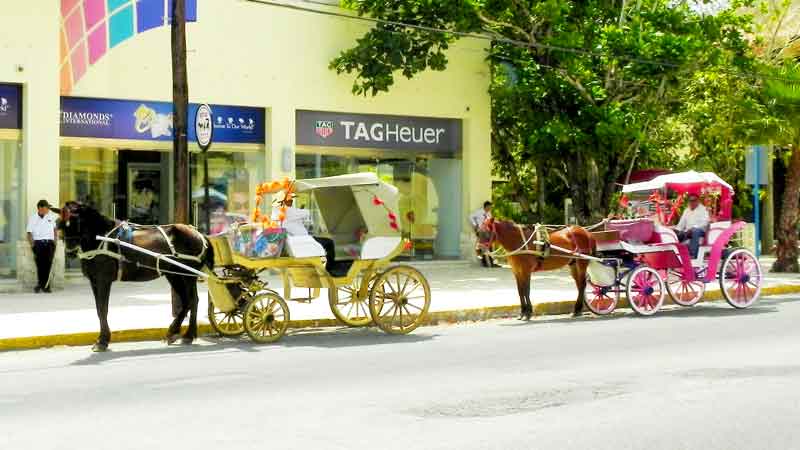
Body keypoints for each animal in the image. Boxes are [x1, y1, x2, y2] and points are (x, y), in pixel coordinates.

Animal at [59, 202, 214, 354]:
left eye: (78, 222)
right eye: (61, 224)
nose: (70, 251)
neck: (100, 238)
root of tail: (198, 233)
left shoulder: (103, 280)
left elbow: (103, 309)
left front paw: (102, 341)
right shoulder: (94, 281)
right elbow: (98, 309)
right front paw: (102, 339)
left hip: (188, 275)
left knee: (193, 300)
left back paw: (188, 335)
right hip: (174, 274)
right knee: (186, 301)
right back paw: (173, 332)